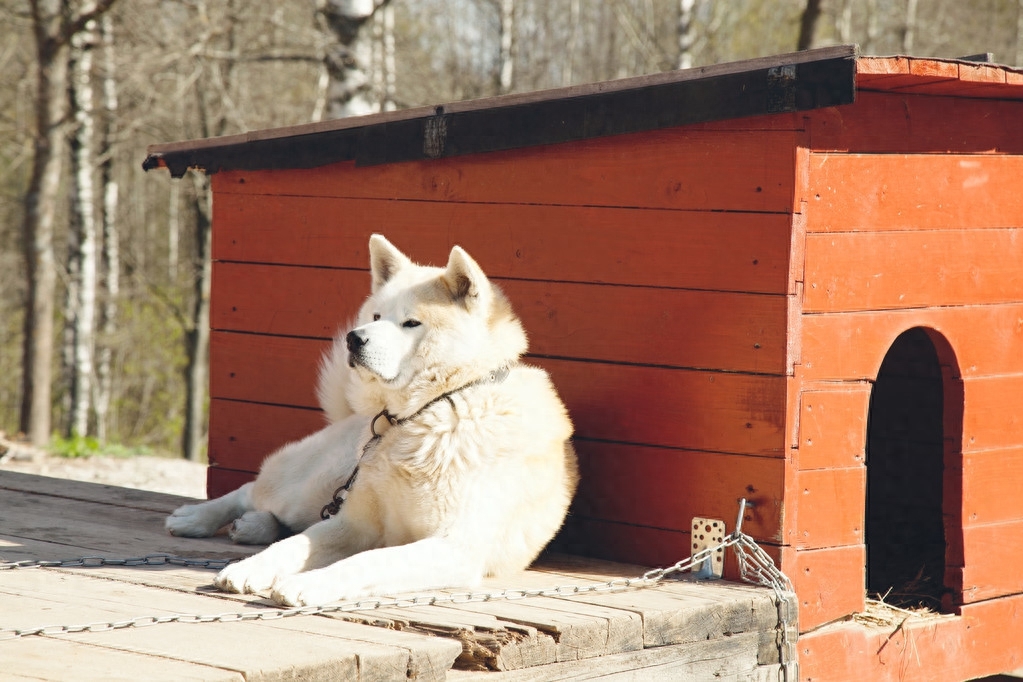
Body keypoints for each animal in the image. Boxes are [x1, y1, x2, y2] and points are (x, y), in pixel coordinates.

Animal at [165, 236, 576, 609]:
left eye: (411, 322)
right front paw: (251, 568)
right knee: (253, 491)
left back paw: (251, 526)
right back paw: (197, 518)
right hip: (313, 487)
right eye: (377, 317)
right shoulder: (355, 522)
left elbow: (366, 561)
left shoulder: (451, 546)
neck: (429, 410)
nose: (354, 339)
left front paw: (308, 583)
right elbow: (296, 545)